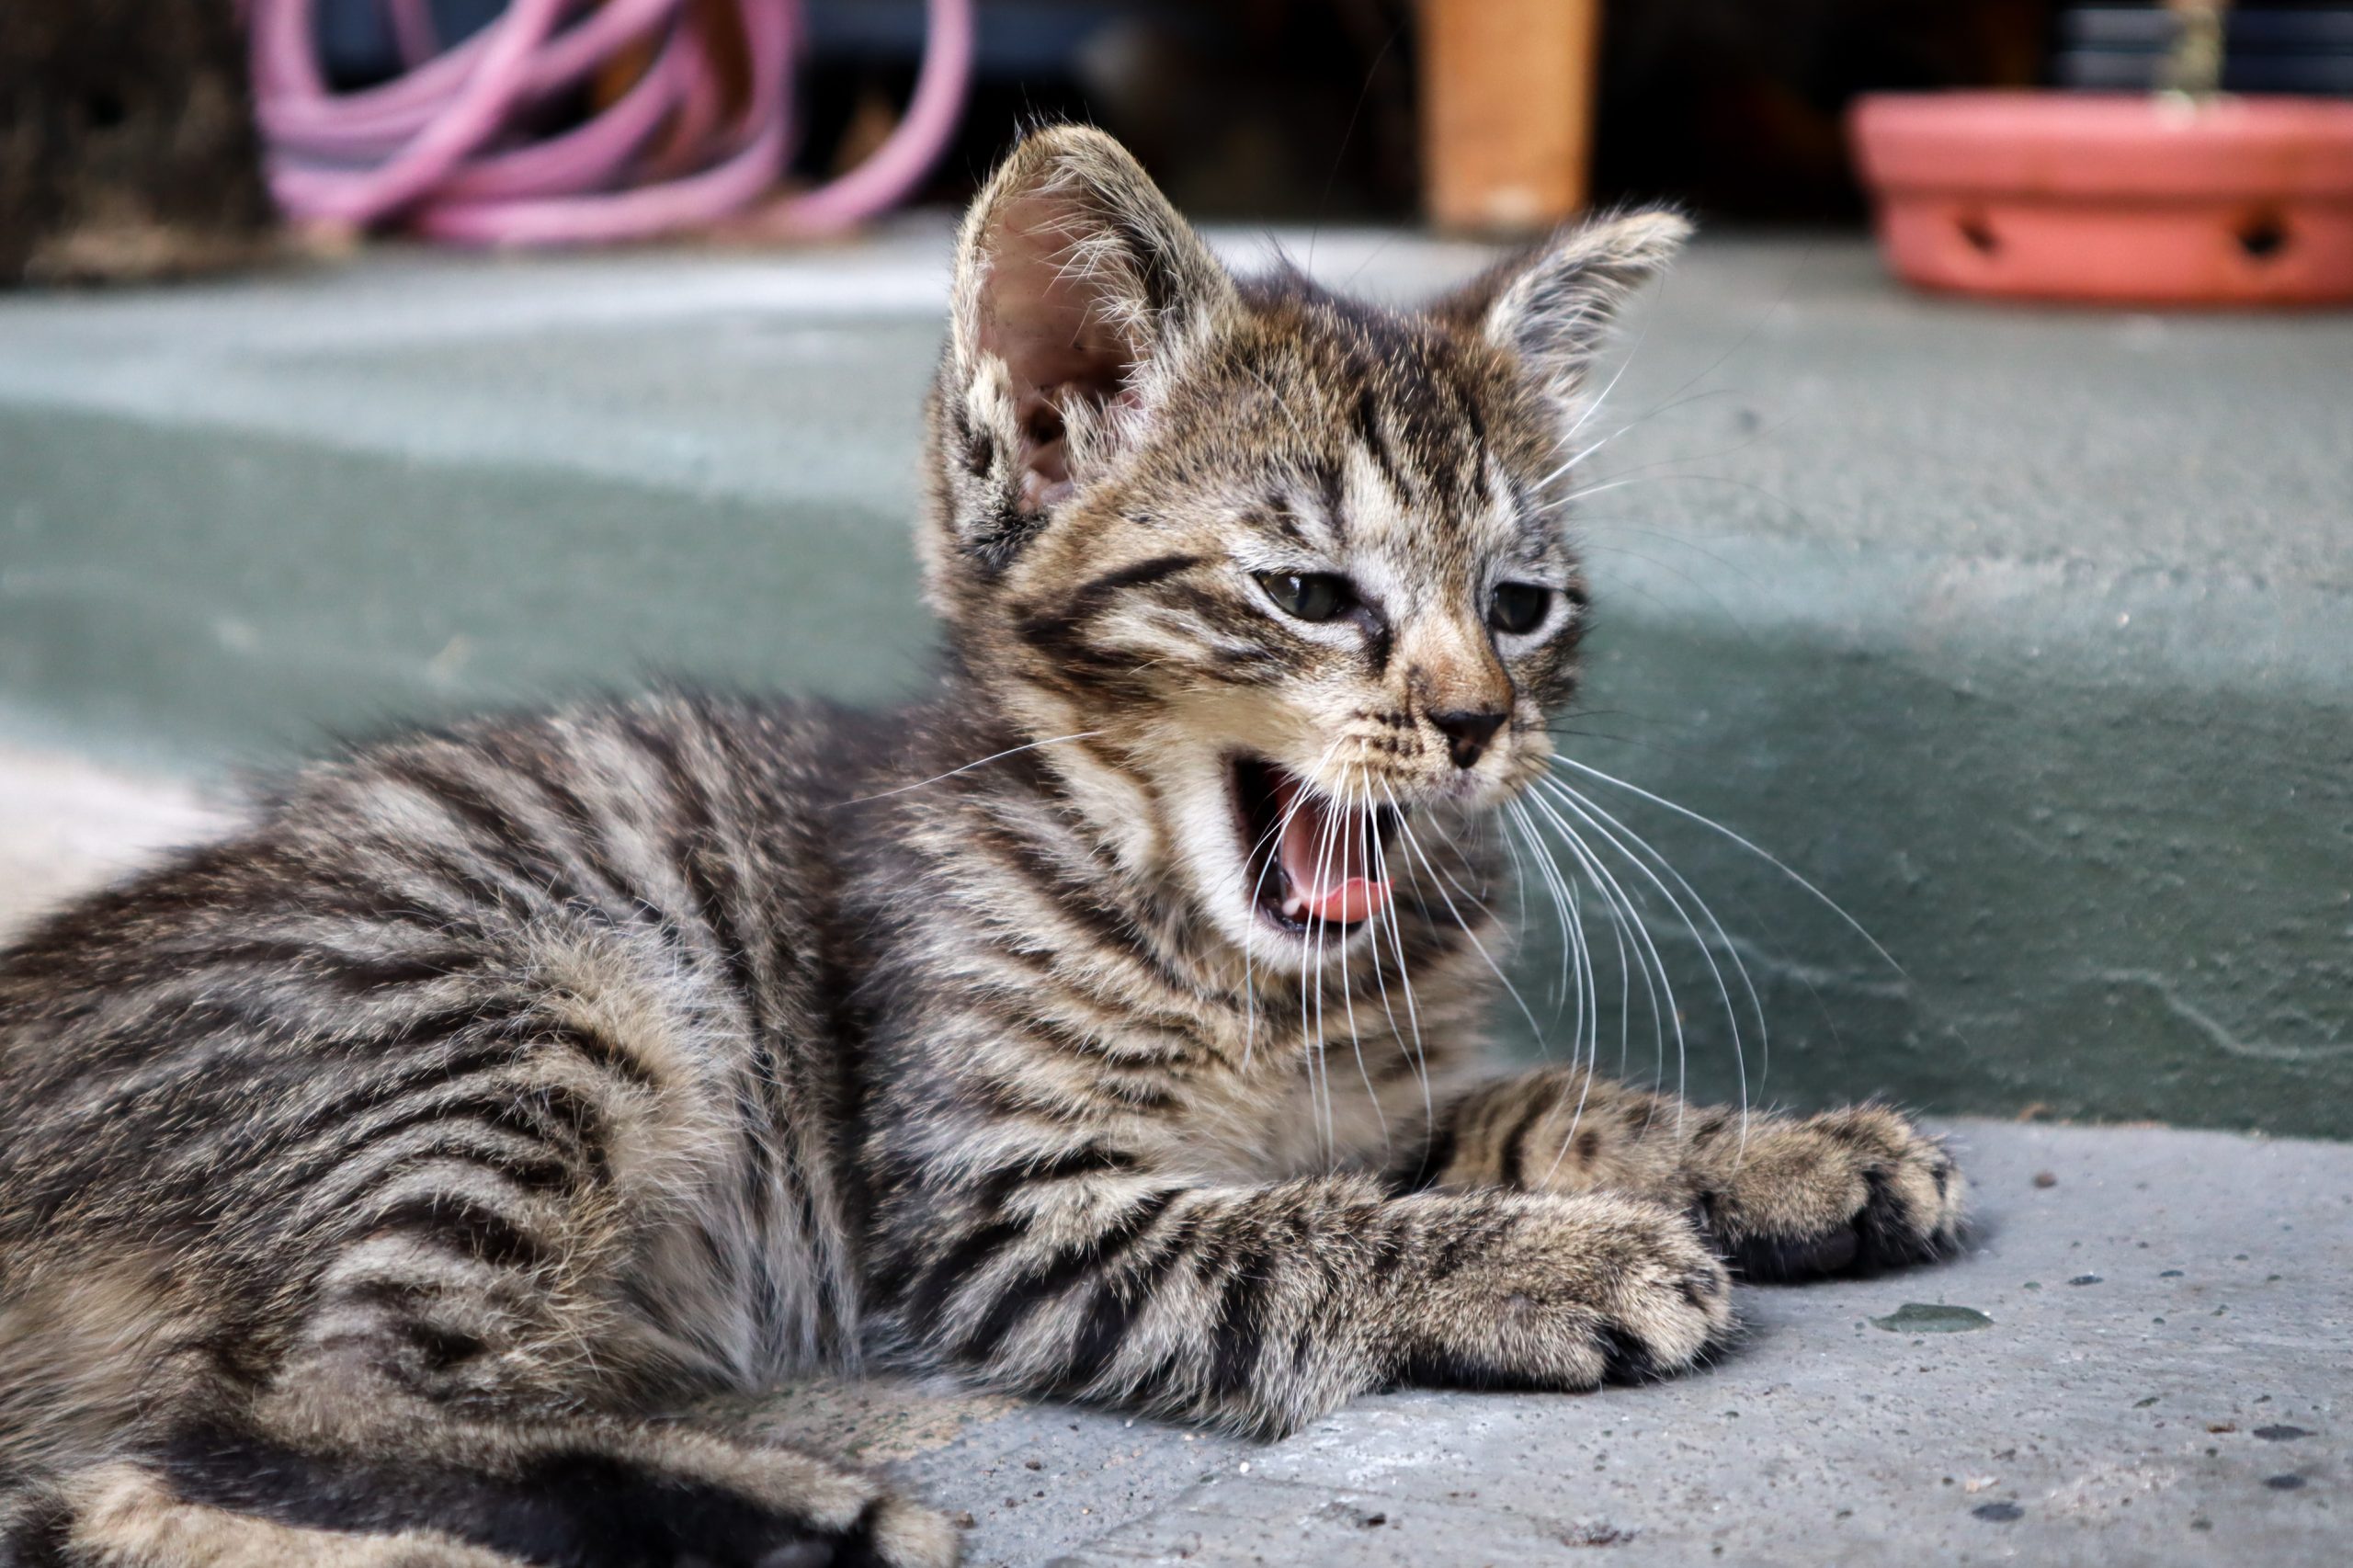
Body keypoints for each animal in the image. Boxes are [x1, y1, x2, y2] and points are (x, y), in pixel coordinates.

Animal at [0, 131, 1967, 1562]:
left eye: (1521, 604)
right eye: (1310, 593)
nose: (1483, 722)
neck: (1213, 955)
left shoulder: (1367, 1098)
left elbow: (1525, 1107)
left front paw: (1777, 1152)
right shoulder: (997, 1218)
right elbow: (1291, 1235)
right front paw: (1560, 1261)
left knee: (152, 1485)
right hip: (535, 995)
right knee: (290, 1406)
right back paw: (793, 1518)